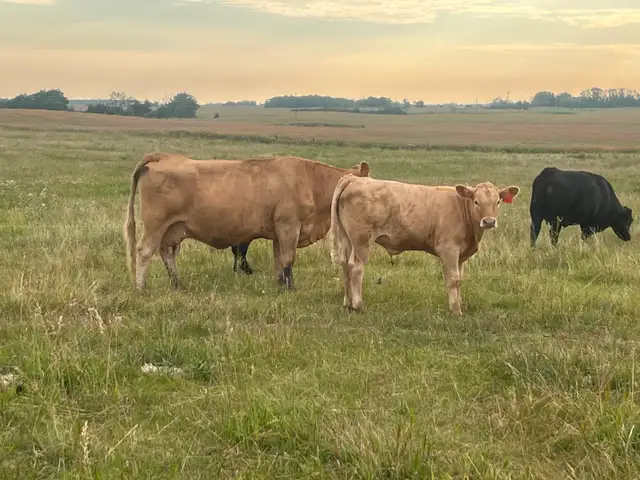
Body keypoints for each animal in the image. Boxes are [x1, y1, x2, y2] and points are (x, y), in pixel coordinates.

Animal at [124, 152, 370, 291]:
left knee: (167, 253)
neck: (311, 181)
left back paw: (177, 284)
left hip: (173, 229)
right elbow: (288, 259)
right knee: (144, 251)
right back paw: (141, 288)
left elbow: (278, 259)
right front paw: (291, 288)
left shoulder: (279, 232)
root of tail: (164, 156)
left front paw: (281, 284)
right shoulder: (289, 227)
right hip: (156, 225)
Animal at [329, 175, 520, 316]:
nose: (489, 221)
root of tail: (355, 179)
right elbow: (453, 279)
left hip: (347, 239)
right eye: (476, 202)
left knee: (345, 265)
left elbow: (459, 280)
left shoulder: (460, 255)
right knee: (356, 267)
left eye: (497, 202)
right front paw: (456, 310)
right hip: (361, 240)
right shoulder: (449, 249)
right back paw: (358, 305)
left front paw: (459, 304)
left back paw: (348, 303)